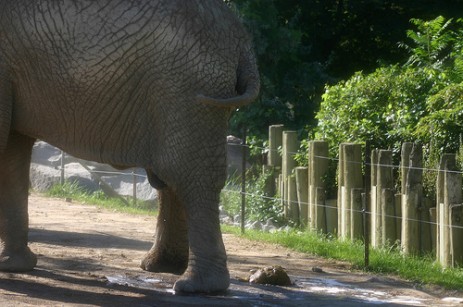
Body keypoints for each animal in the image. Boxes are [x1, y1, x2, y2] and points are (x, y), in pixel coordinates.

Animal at [0, 0, 260, 294]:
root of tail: (243, 41)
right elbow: (13, 152)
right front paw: (13, 267)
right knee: (172, 176)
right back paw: (162, 267)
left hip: (188, 90)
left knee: (189, 175)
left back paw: (197, 286)